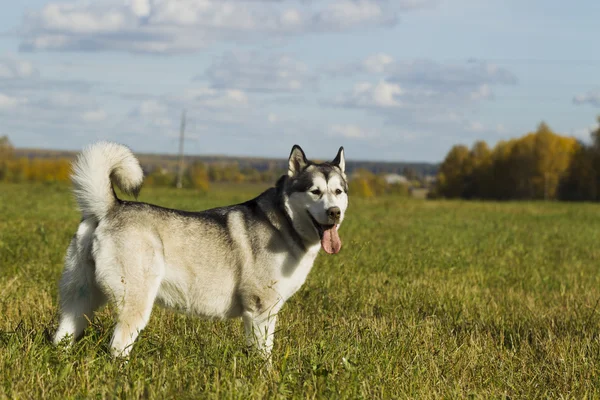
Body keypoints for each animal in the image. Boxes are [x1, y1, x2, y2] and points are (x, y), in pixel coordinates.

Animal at [54, 142, 350, 358]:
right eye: (315, 191)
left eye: (338, 191)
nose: (334, 213)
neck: (285, 223)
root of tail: (111, 207)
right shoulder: (260, 311)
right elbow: (263, 356)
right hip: (136, 301)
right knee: (117, 347)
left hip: (79, 300)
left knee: (61, 338)